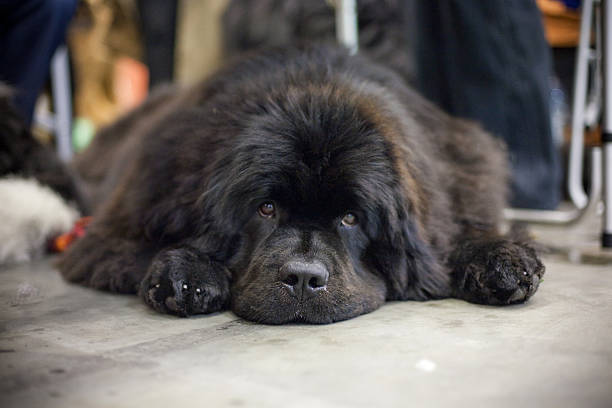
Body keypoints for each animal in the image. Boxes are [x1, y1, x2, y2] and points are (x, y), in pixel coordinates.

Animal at [58, 44, 544, 324]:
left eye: (350, 218)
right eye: (266, 208)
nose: (304, 278)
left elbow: (455, 236)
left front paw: (500, 258)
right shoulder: (125, 220)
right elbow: (139, 248)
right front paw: (188, 273)